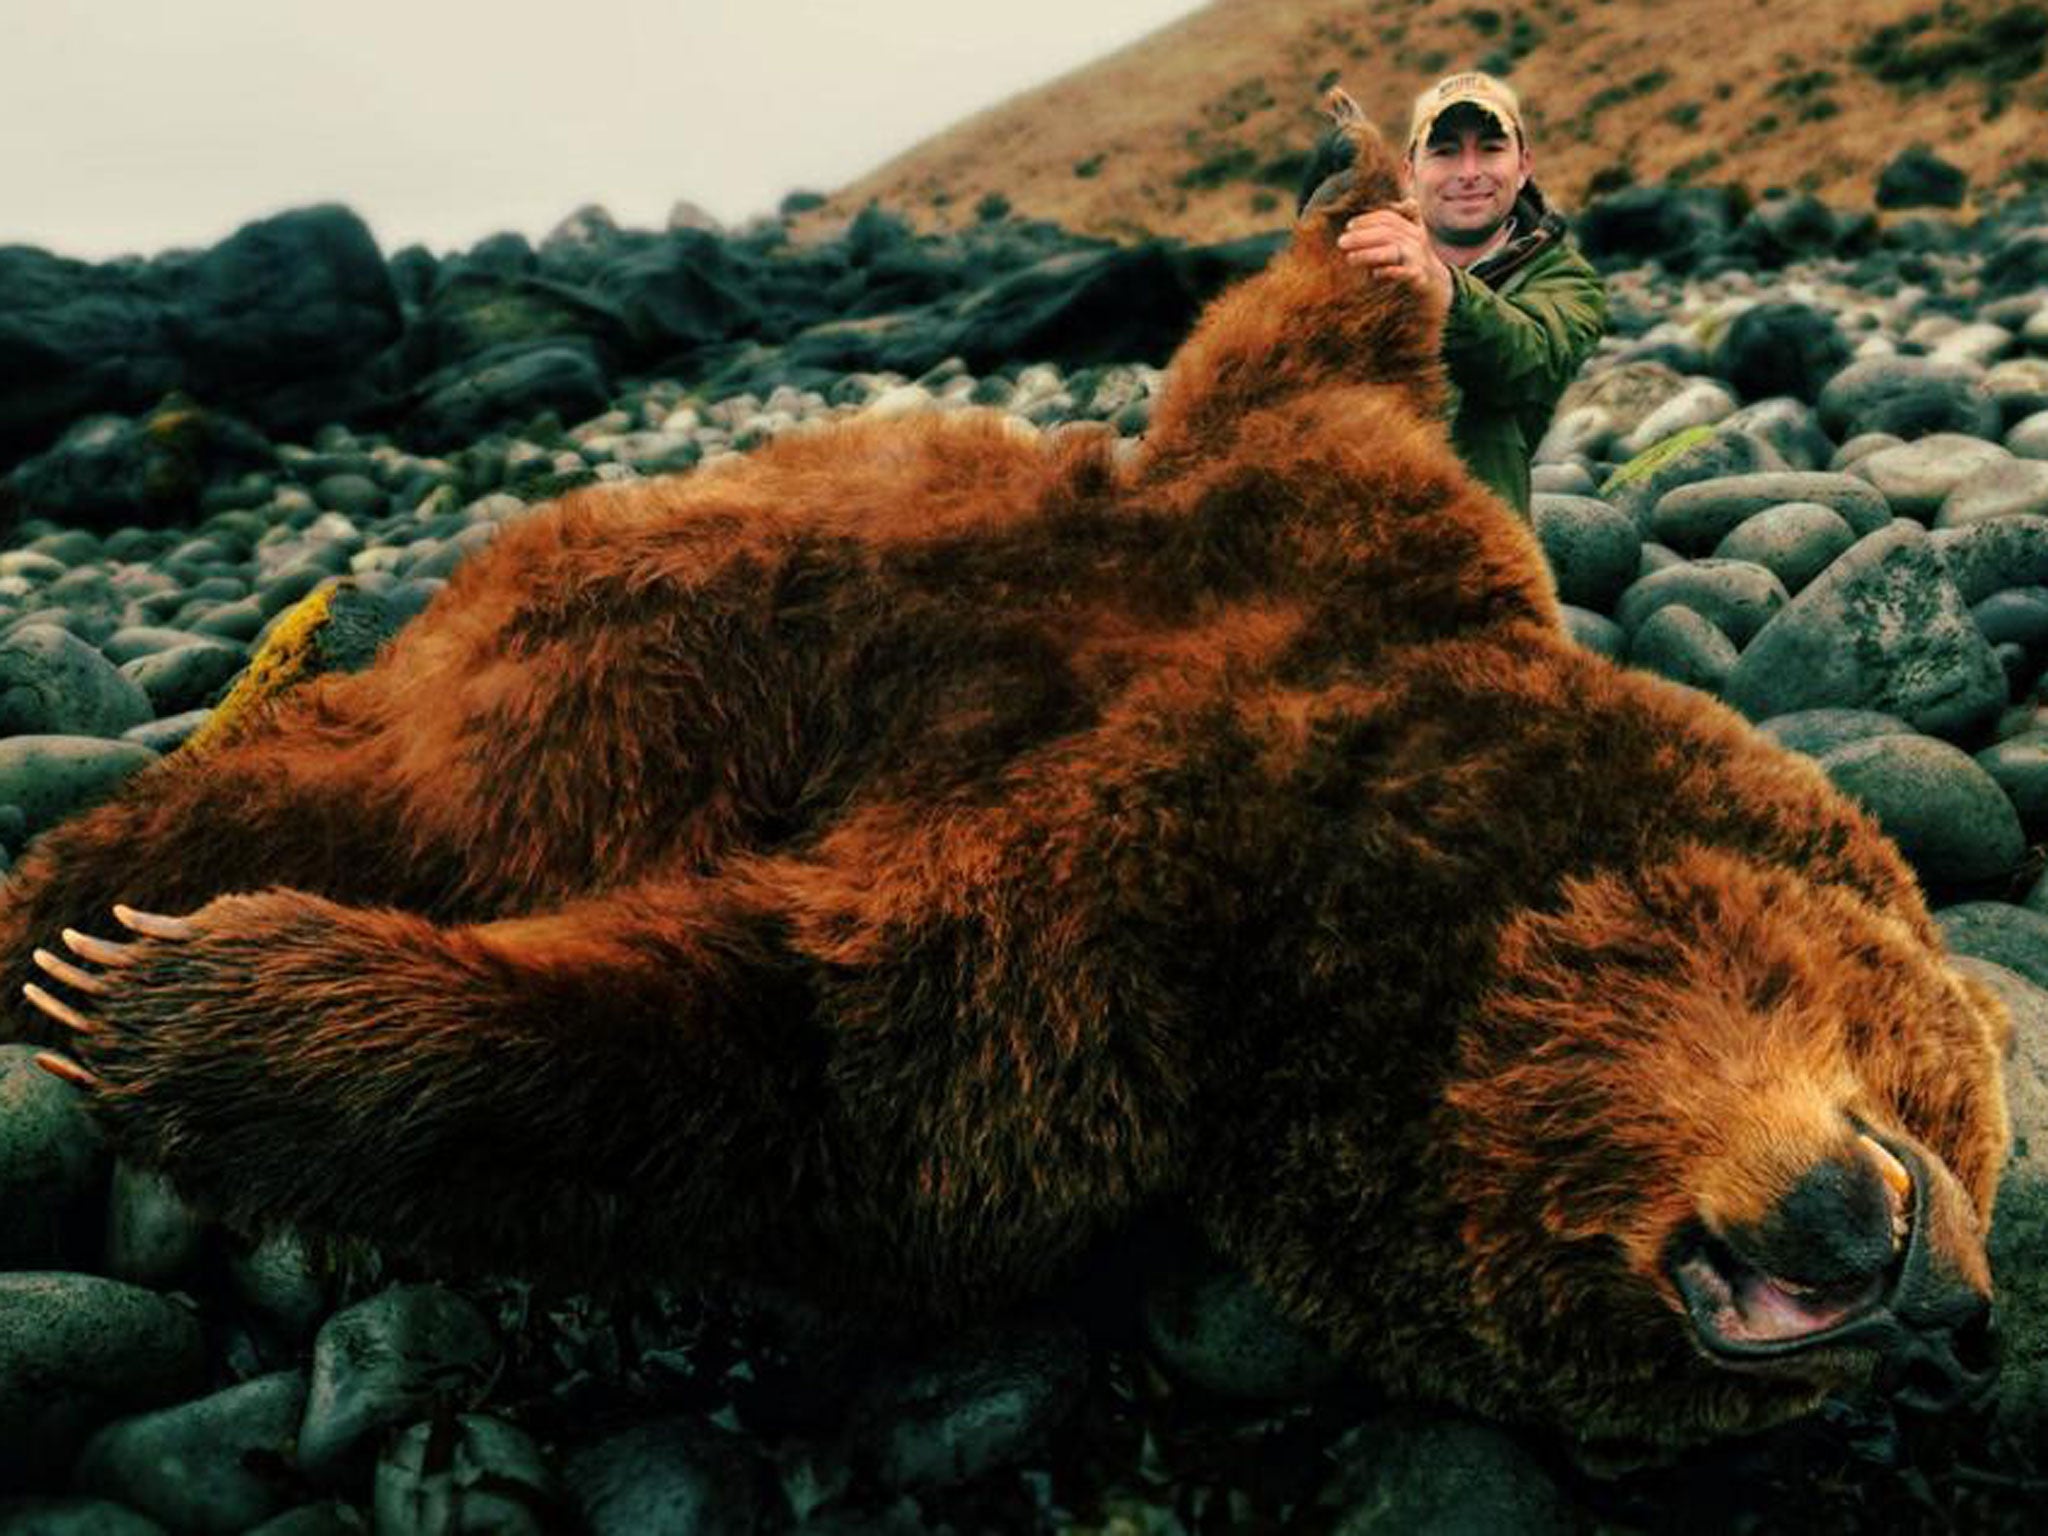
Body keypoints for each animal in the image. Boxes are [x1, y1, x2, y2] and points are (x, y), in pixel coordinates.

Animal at [2, 94, 2010, 1449]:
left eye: (1967, 1147)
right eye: (1932, 1105)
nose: (1936, 1309)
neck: (1388, 822)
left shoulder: (1126, 983)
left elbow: (811, 1076)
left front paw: (202, 1000)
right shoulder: (1338, 537)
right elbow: (1299, 349)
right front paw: (1362, 181)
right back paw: (86, 877)